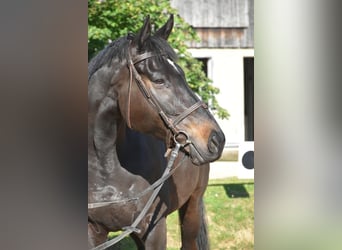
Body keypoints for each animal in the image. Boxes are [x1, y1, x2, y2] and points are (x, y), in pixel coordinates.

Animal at [88, 14, 224, 249]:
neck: (105, 167)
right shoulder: (93, 231)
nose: (216, 139)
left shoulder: (154, 229)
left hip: (192, 207)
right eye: (159, 80)